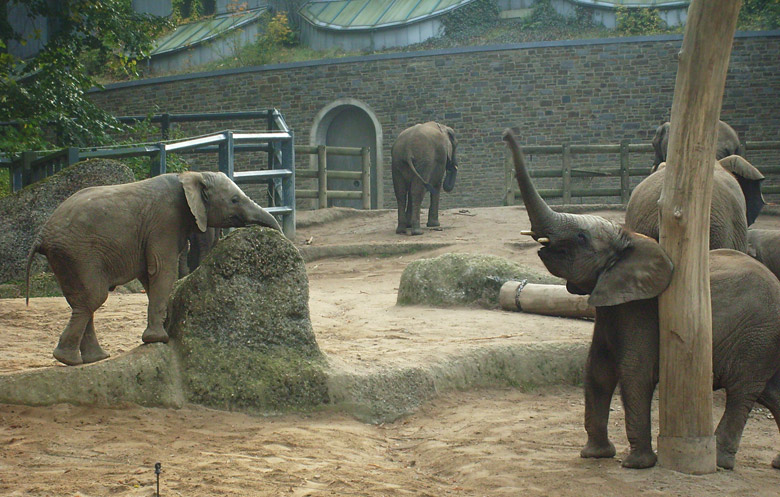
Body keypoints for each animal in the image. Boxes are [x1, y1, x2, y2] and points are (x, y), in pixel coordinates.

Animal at [29, 170, 282, 364]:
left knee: (81, 300)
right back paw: (69, 359)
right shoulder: (166, 221)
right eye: (234, 200)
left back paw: (90, 359)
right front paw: (159, 339)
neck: (192, 175)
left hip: (65, 257)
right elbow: (162, 269)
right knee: (93, 297)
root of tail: (42, 235)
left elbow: (149, 276)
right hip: (79, 253)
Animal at [502, 128, 780, 468]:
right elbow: (596, 370)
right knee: (772, 391)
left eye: (581, 237)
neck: (630, 239)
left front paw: (636, 464)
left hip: (758, 335)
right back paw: (774, 463)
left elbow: (634, 373)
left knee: (744, 391)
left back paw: (720, 461)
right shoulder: (612, 308)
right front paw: (594, 455)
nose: (507, 134)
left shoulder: (641, 312)